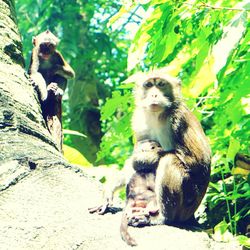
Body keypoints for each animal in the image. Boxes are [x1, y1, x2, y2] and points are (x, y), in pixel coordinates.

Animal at [89, 72, 210, 227]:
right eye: (148, 85)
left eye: (161, 84)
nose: (154, 94)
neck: (156, 116)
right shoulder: (138, 121)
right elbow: (134, 156)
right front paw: (109, 190)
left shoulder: (179, 118)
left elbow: (199, 161)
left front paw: (146, 158)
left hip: (188, 204)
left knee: (169, 160)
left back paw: (162, 218)